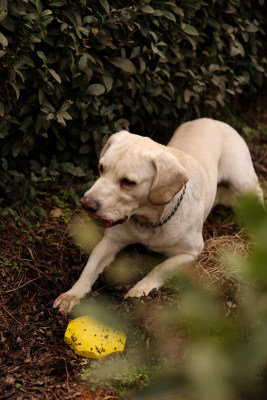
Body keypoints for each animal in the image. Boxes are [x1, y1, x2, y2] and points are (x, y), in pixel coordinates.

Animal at [54, 117, 264, 314]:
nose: (86, 204)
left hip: (243, 181)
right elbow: (89, 269)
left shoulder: (191, 252)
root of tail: (213, 120)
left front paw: (139, 291)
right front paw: (72, 295)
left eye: (128, 182)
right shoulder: (110, 241)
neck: (151, 221)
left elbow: (160, 268)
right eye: (101, 168)